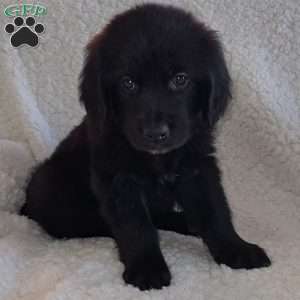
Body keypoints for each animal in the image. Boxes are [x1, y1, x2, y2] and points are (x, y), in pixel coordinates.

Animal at [19, 3, 270, 290]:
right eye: (128, 83)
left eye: (180, 79)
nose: (155, 134)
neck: (158, 159)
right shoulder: (118, 180)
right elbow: (136, 226)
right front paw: (147, 268)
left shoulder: (198, 167)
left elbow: (216, 211)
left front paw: (236, 249)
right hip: (49, 186)